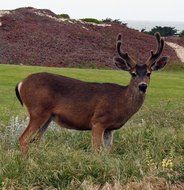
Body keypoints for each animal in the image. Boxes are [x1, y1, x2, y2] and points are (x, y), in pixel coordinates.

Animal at [15, 32, 168, 154]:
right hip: (38, 111)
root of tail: (21, 83)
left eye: (149, 73)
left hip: (48, 117)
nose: (143, 86)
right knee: (23, 139)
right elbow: (97, 150)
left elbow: (108, 152)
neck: (120, 102)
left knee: (35, 141)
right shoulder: (98, 121)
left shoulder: (110, 129)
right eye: (133, 73)